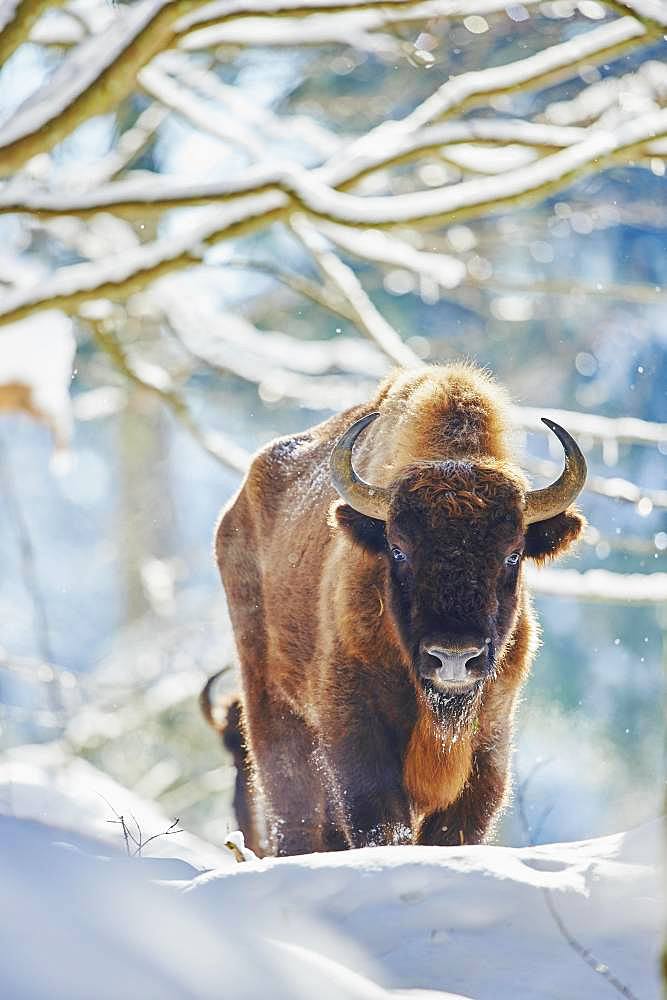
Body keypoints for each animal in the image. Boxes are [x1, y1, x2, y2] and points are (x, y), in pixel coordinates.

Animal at [206, 364, 588, 856]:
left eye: (513, 554)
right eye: (398, 549)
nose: (454, 657)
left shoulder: (489, 745)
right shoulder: (357, 736)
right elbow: (381, 824)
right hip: (270, 702)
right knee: (294, 811)